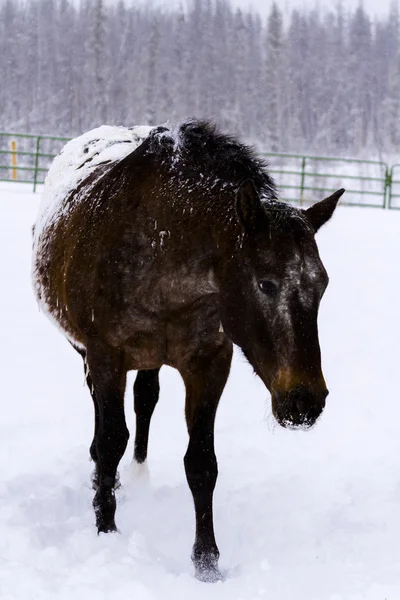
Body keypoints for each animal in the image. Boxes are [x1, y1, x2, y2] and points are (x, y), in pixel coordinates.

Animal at [31, 119, 344, 584]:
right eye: (266, 283)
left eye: (321, 285)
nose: (305, 401)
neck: (159, 243)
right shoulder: (106, 356)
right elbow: (110, 440)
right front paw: (106, 530)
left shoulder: (209, 362)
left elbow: (201, 462)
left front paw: (207, 562)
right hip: (89, 354)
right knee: (104, 416)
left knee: (145, 400)